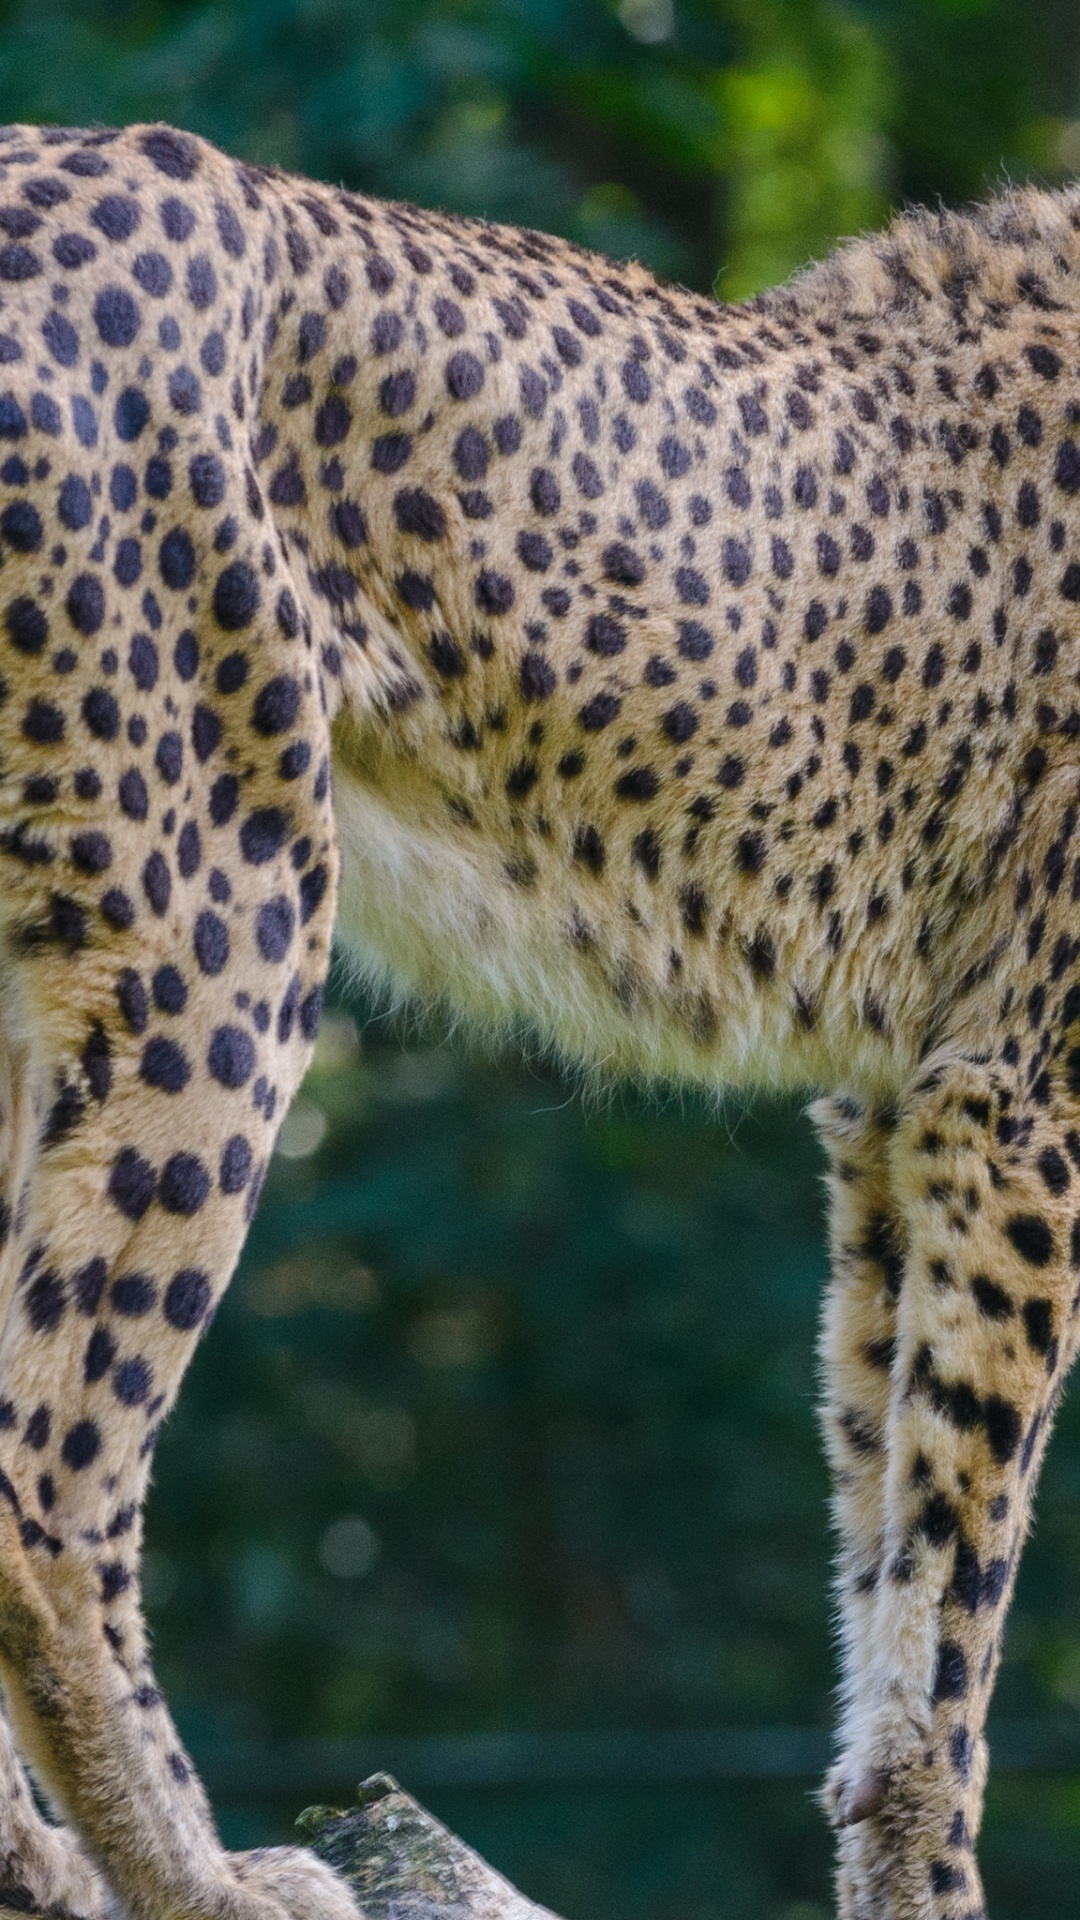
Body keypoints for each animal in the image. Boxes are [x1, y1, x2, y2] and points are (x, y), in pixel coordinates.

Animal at [0, 112, 1071, 1920]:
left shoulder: (893, 1100)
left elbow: (885, 1524)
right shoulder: (1015, 1100)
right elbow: (957, 1593)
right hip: (221, 905)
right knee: (47, 1478)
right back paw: (199, 1881)